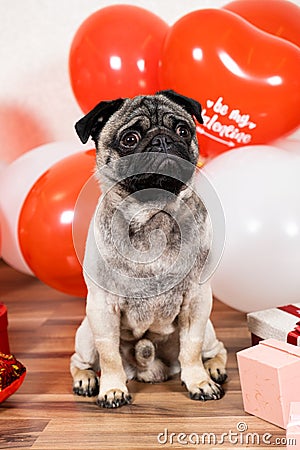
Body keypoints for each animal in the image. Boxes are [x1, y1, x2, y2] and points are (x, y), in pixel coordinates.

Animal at [70, 90, 227, 408]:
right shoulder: (102, 307)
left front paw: (199, 382)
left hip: (208, 329)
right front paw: (112, 389)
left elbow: (190, 349)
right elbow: (110, 356)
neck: (153, 213)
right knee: (79, 361)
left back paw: (214, 369)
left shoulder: (197, 301)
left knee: (216, 349)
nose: (162, 139)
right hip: (87, 333)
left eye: (183, 130)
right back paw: (87, 379)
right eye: (130, 139)